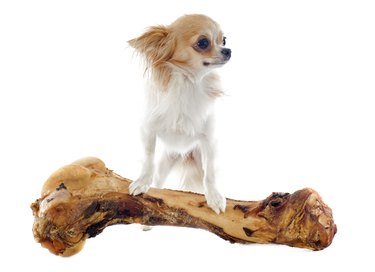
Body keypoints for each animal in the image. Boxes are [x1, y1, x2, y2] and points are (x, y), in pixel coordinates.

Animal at [128, 14, 231, 215]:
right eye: (203, 42)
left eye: (223, 40)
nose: (228, 50)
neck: (187, 83)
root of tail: (185, 154)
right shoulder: (148, 130)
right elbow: (148, 158)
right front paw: (142, 182)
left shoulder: (209, 141)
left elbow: (210, 175)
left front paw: (214, 197)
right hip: (166, 162)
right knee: (159, 180)